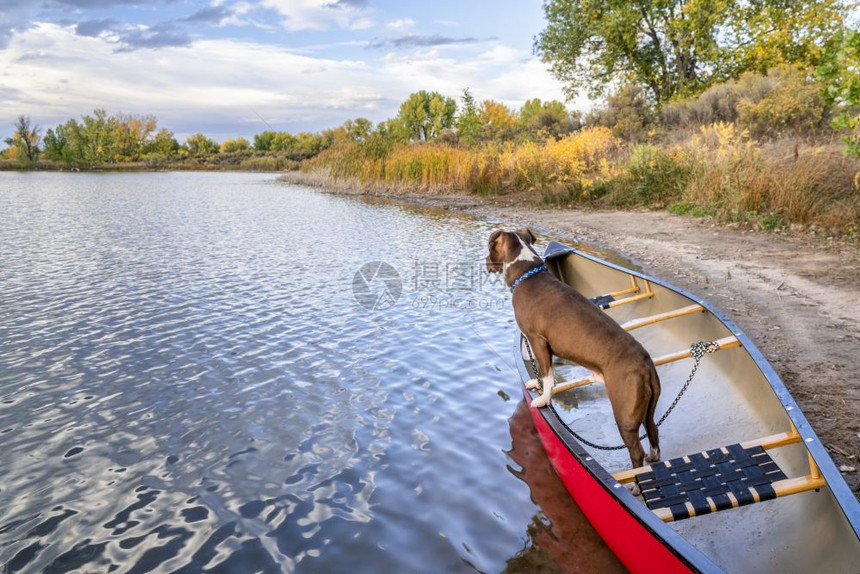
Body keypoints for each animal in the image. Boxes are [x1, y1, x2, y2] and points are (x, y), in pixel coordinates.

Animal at [488, 230, 660, 472]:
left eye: (490, 246)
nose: (486, 262)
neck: (527, 273)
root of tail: (646, 364)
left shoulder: (537, 341)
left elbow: (547, 375)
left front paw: (543, 399)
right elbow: (542, 372)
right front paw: (534, 384)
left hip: (625, 415)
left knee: (636, 450)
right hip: (647, 409)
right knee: (653, 430)